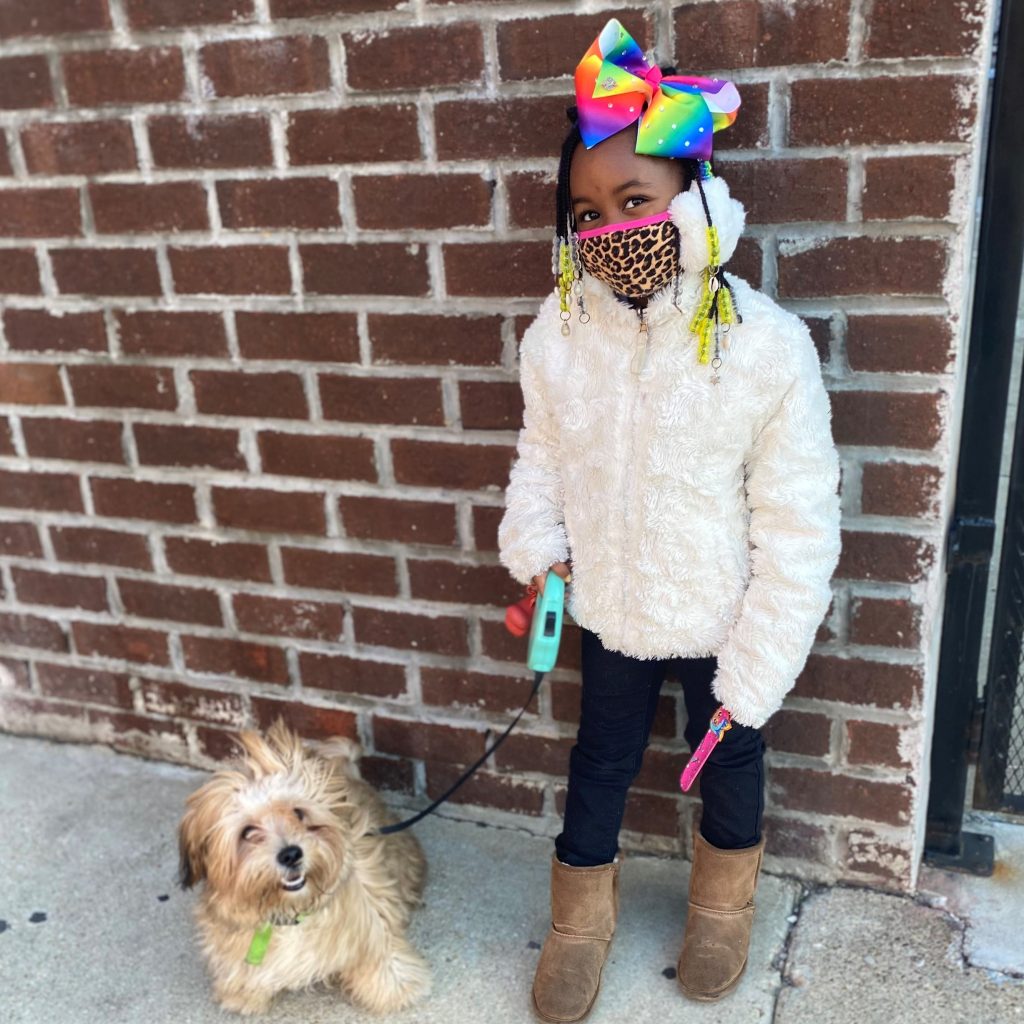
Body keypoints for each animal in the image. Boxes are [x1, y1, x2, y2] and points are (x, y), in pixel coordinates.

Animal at [178, 720, 430, 1015]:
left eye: (298, 813)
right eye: (247, 832)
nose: (290, 854)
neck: (293, 910)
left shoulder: (370, 918)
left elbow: (380, 955)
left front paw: (395, 989)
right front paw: (244, 994)